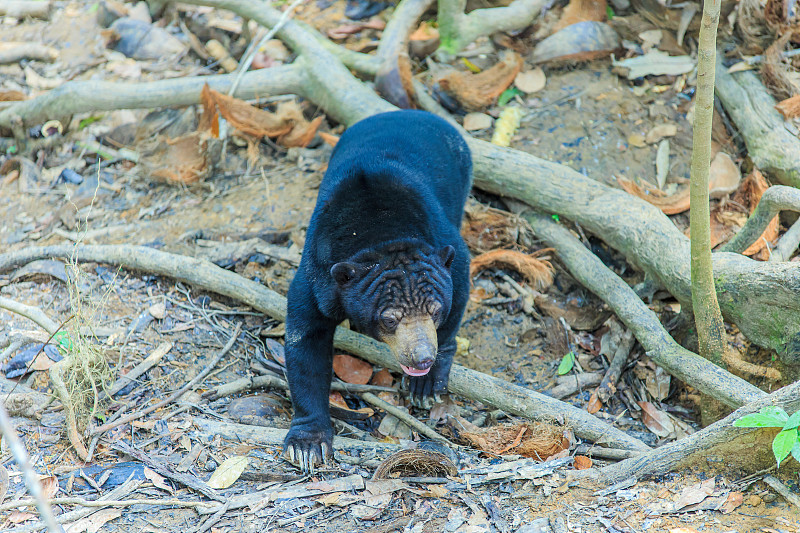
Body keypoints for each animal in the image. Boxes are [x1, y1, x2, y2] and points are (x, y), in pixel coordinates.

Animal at [284, 109, 472, 470]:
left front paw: (426, 385)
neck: (380, 231)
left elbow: (459, 288)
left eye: (435, 311)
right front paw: (308, 445)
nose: (422, 357)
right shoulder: (318, 275)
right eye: (389, 318)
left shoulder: (446, 247)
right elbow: (306, 340)